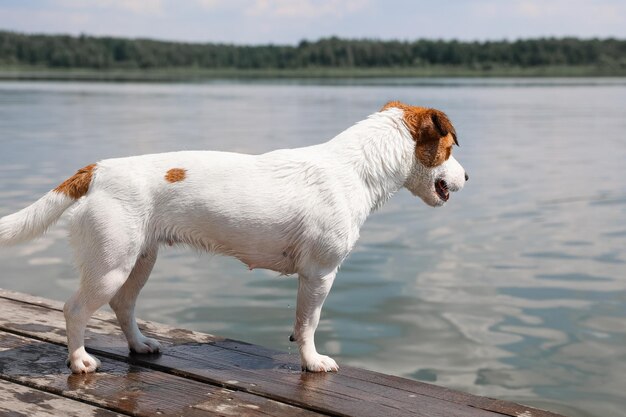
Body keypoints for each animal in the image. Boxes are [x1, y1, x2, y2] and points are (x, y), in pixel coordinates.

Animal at [0, 101, 464, 374]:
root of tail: (96, 169)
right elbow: (309, 323)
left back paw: (140, 345)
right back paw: (79, 360)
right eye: (450, 147)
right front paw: (312, 362)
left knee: (123, 305)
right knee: (76, 308)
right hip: (110, 265)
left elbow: (302, 323)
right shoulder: (320, 273)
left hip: (139, 260)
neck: (357, 166)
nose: (468, 176)